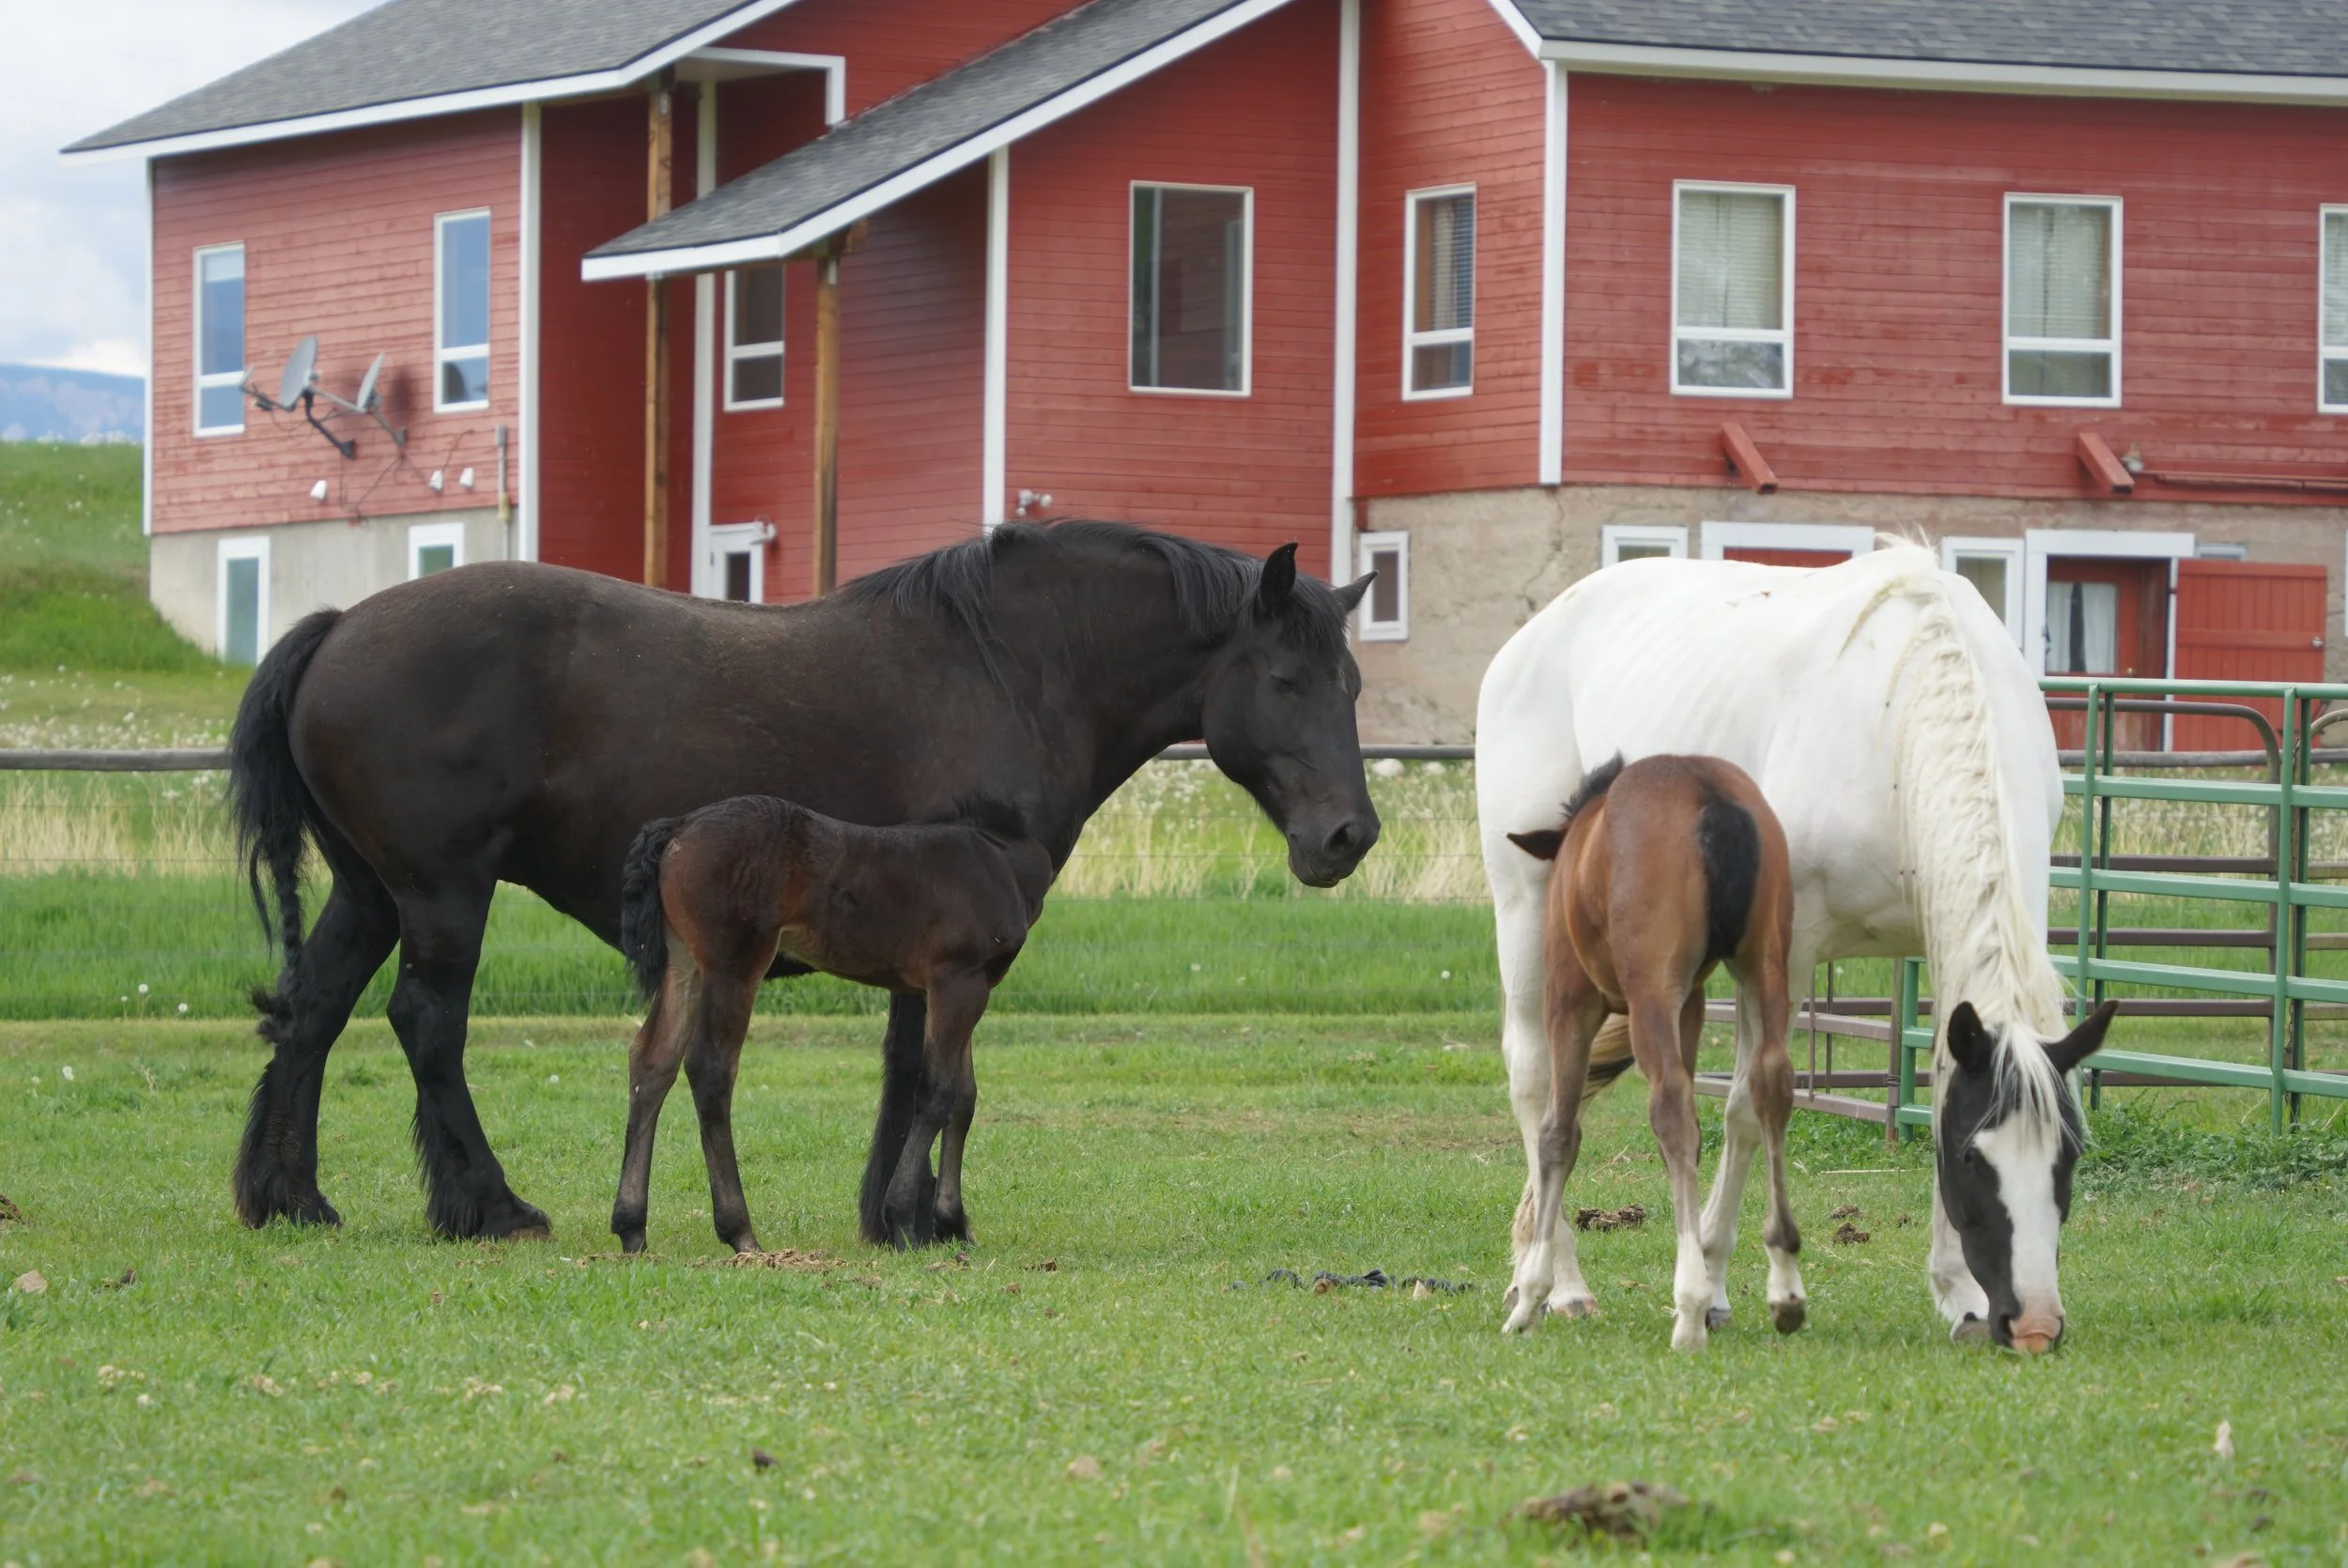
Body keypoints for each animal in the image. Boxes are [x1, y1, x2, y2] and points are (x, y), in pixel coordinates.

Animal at [611, 795, 1054, 1253]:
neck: (1000, 853)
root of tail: (679, 827)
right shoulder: (957, 981)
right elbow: (937, 1093)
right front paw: (903, 1221)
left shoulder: (967, 985)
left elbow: (964, 1099)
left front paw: (952, 1224)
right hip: (733, 964)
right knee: (710, 1069)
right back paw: (741, 1232)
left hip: (684, 963)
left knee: (652, 1061)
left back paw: (632, 1228)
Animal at [1498, 754, 1799, 1352]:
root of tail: (1711, 795)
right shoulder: (1693, 1004)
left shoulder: (1570, 1000)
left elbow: (1557, 1134)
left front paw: (1532, 1297)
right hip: (1765, 964)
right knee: (1770, 1083)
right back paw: (1784, 1284)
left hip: (1648, 993)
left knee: (1672, 1110)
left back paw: (1691, 1305)